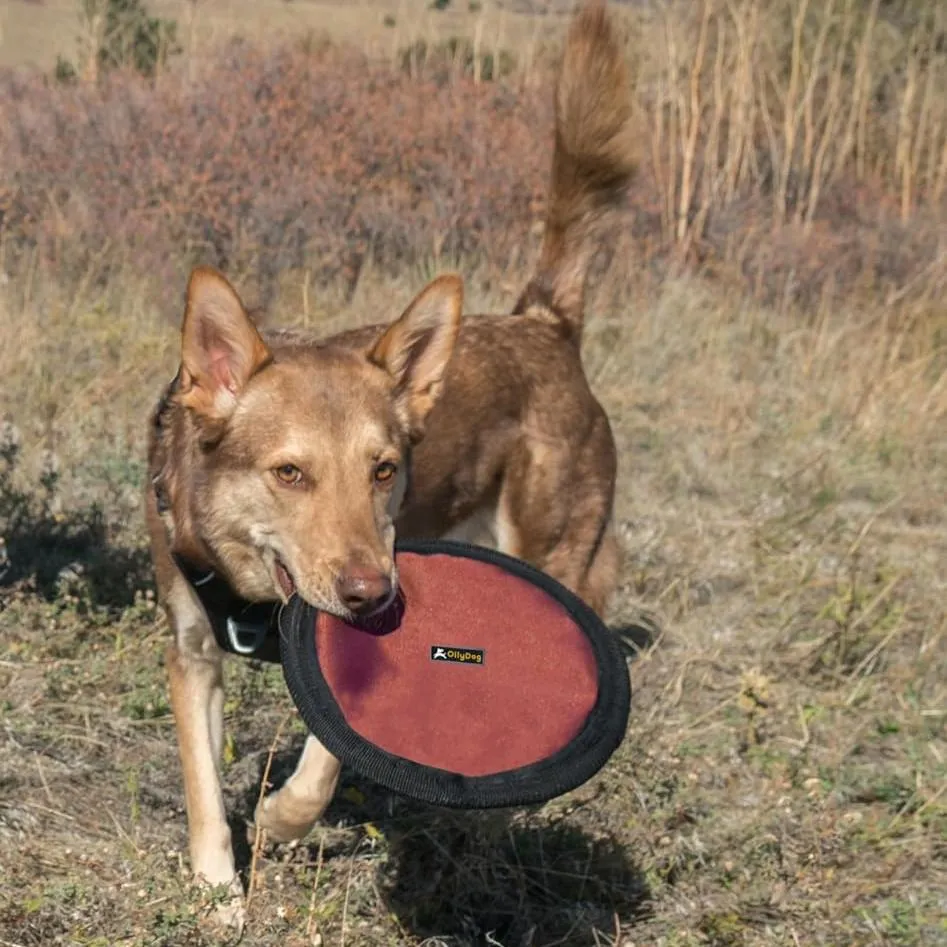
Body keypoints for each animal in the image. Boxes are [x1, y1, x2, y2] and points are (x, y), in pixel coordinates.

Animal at [146, 0, 636, 932]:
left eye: (381, 470)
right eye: (289, 473)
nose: (373, 593)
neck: (255, 592)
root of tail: (543, 325)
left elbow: (330, 757)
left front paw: (284, 819)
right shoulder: (191, 649)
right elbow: (199, 783)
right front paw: (217, 892)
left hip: (552, 548)